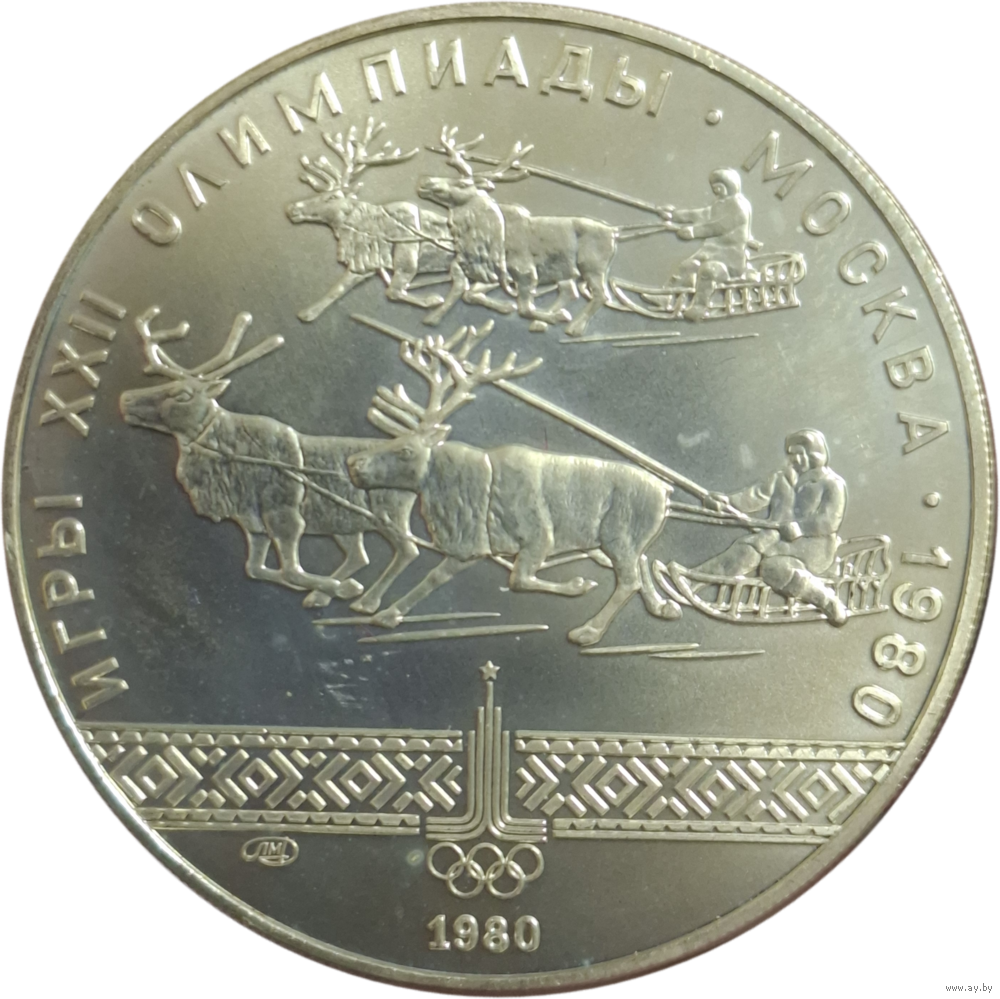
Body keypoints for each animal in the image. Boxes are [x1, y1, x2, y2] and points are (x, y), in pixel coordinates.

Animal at [119, 307, 420, 613]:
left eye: (181, 394)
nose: (125, 399)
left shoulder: (284, 516)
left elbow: (291, 570)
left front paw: (343, 588)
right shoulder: (253, 523)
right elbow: (257, 568)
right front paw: (332, 587)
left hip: (389, 515)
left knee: (408, 550)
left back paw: (370, 603)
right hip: (344, 524)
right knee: (360, 556)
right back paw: (323, 596)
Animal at [285, 118, 454, 322]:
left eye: (332, 197)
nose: (292, 208)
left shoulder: (407, 263)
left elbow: (394, 292)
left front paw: (432, 300)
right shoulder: (365, 264)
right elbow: (338, 288)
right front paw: (308, 313)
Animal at [346, 323, 682, 646]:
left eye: (405, 451)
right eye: (397, 439)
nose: (353, 464)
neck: (466, 492)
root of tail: (665, 492)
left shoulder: (539, 538)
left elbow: (518, 580)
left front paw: (576, 585)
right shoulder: (469, 547)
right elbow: (432, 579)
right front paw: (387, 614)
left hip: (618, 537)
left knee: (629, 579)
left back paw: (589, 631)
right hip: (616, 541)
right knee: (643, 560)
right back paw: (662, 606)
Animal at [416, 127, 621, 337]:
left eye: (463, 184)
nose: (426, 181)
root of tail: (613, 231)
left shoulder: (524, 270)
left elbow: (524, 308)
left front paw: (555, 317)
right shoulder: (487, 272)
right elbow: (467, 293)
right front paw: (433, 317)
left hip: (592, 266)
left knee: (601, 295)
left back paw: (573, 327)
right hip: (564, 270)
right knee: (569, 292)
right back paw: (543, 323)